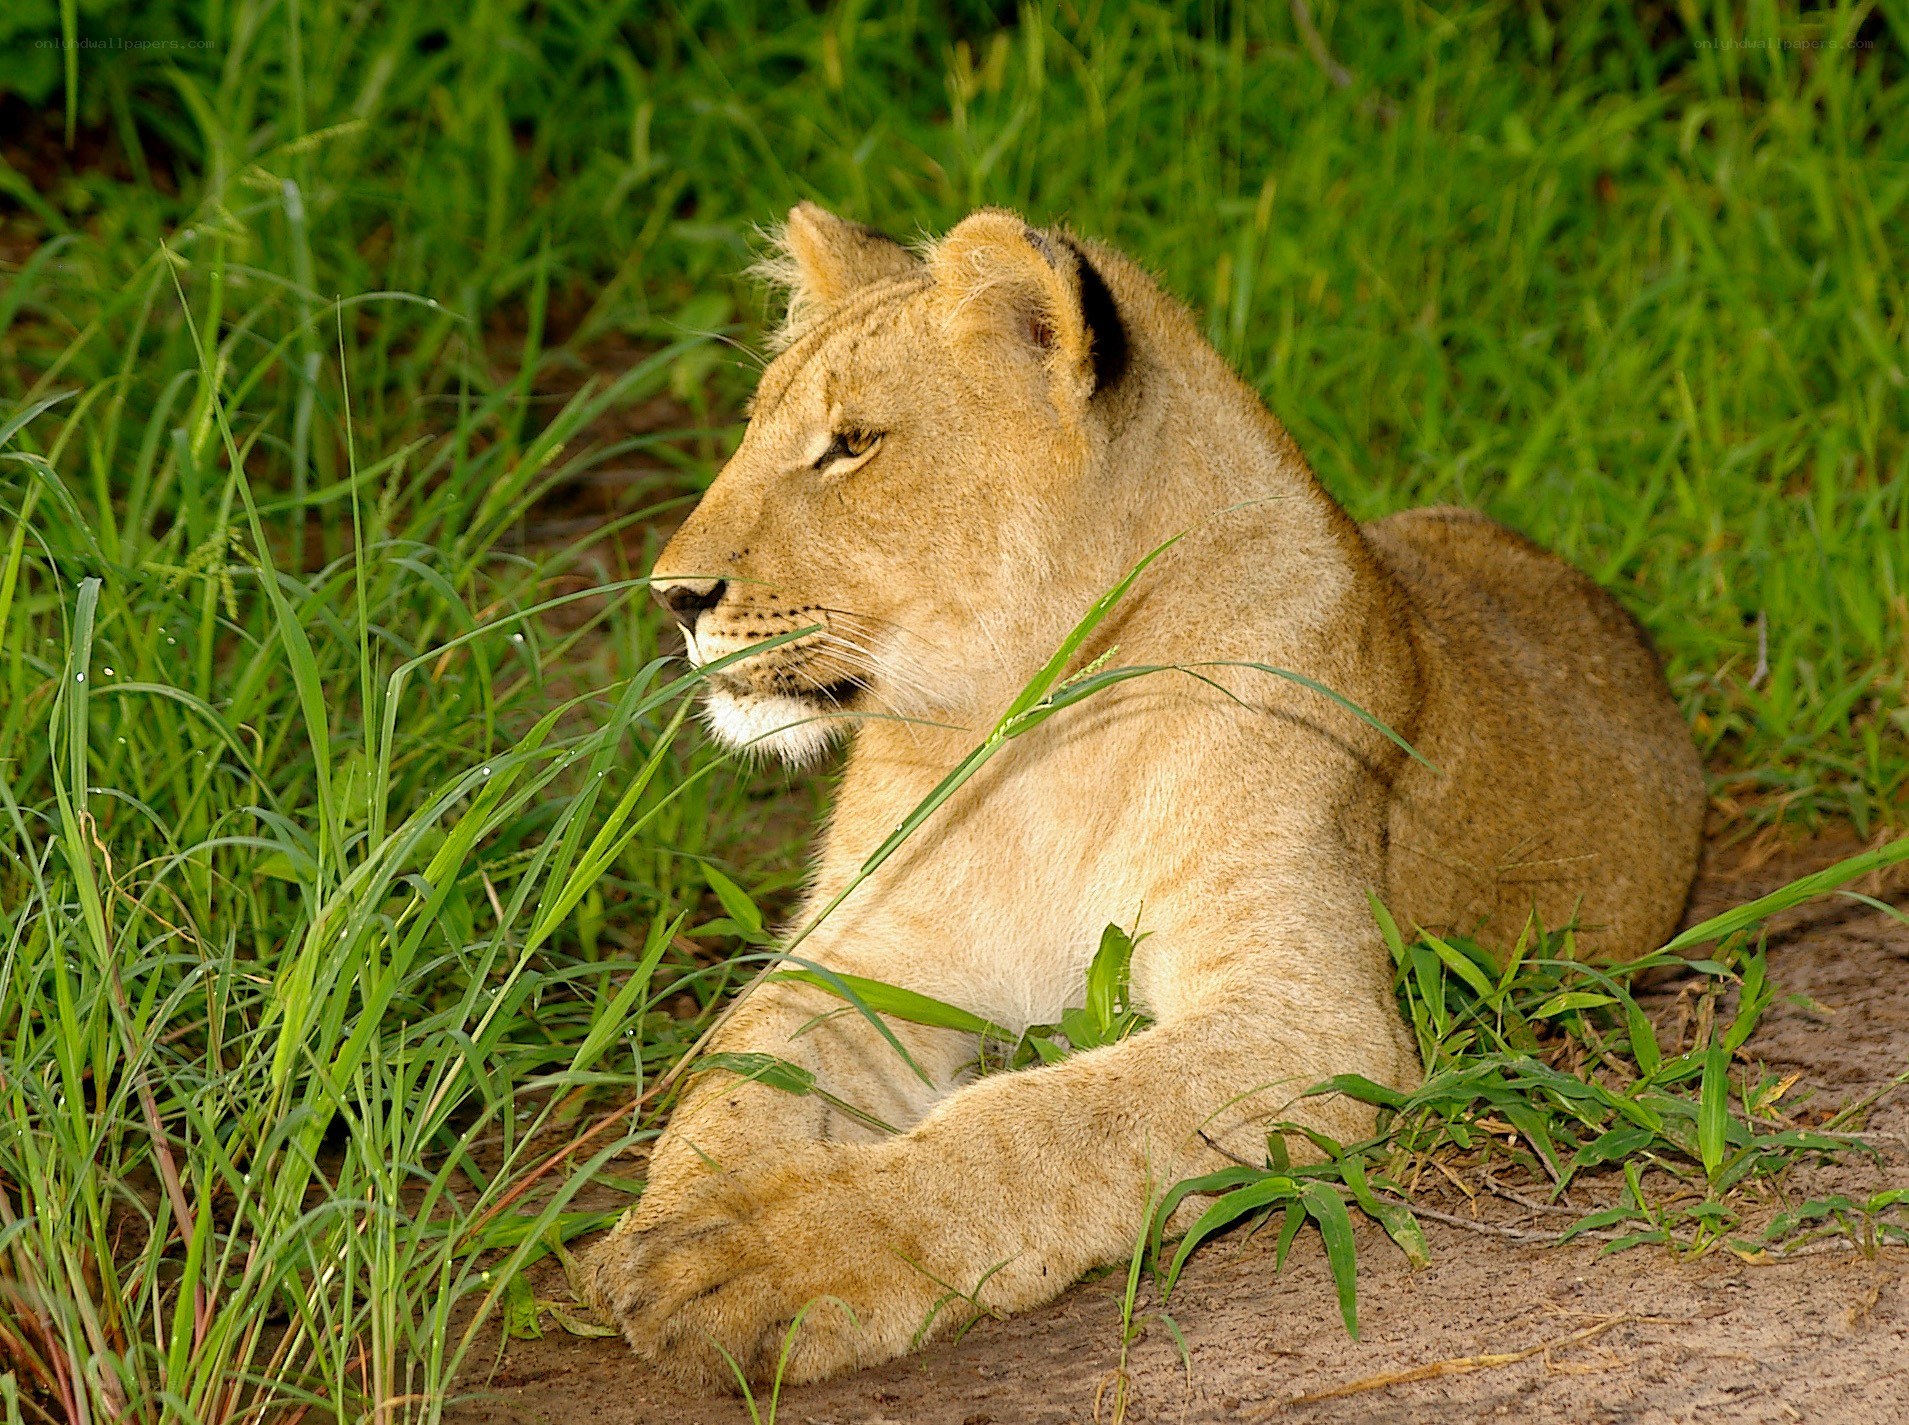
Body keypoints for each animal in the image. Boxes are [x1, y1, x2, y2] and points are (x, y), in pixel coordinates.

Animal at [583, 204, 1704, 1388]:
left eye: (853, 443)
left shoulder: (1315, 1023)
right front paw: (663, 1226)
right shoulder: (859, 965)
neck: (1017, 736)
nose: (672, 596)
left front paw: (765, 1255)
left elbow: (1040, 1124)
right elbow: (736, 1086)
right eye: (756, 428)